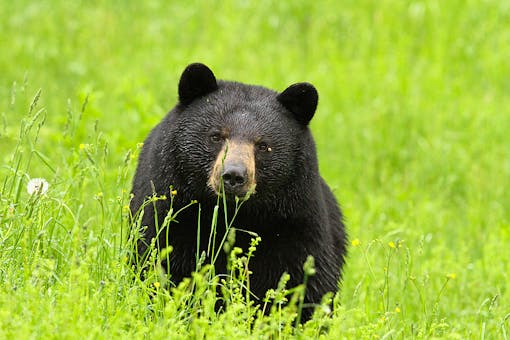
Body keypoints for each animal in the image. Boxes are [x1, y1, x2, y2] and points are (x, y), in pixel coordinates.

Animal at [129, 63, 348, 322]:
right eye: (216, 135)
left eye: (263, 145)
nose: (233, 175)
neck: (235, 216)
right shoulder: (171, 214)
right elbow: (160, 262)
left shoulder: (296, 224)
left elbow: (306, 282)